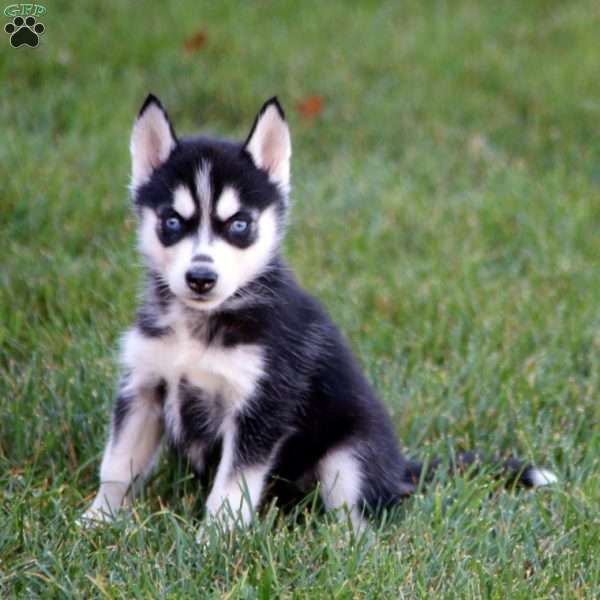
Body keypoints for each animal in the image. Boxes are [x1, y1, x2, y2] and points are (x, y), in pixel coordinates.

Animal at [81, 95, 556, 528]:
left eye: (240, 224)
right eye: (172, 222)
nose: (201, 277)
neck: (201, 323)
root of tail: (399, 468)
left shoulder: (261, 406)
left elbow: (231, 489)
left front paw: (215, 542)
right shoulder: (144, 387)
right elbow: (117, 465)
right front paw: (98, 520)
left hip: (348, 455)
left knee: (356, 515)